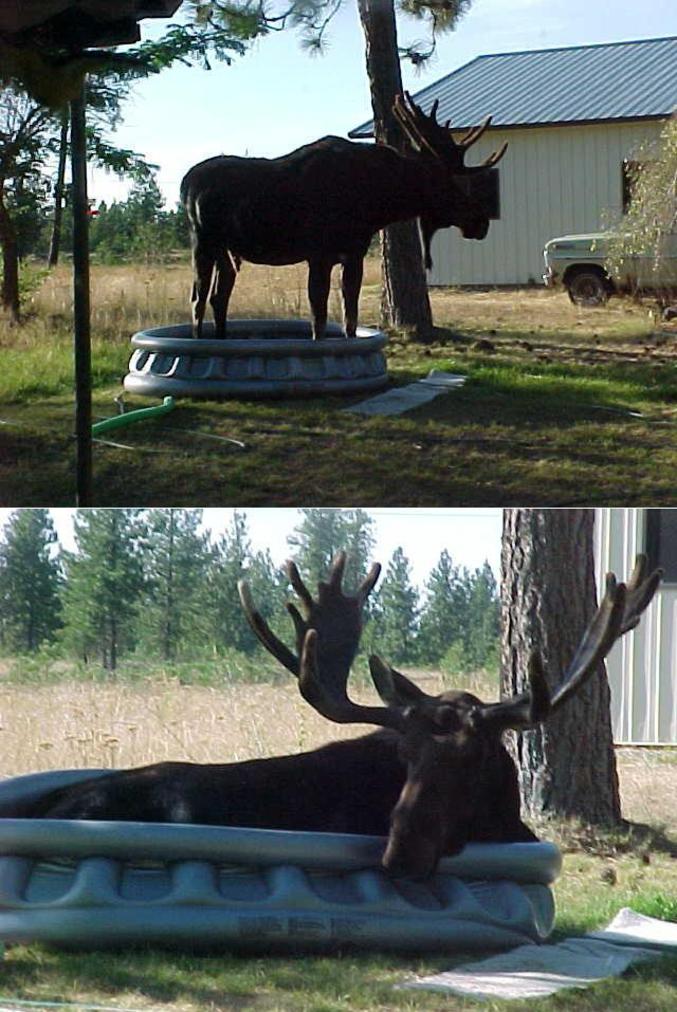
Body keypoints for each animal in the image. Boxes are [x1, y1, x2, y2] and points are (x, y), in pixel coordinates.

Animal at [179, 93, 505, 342]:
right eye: (447, 182)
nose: (480, 221)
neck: (376, 205)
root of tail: (185, 183)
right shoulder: (318, 254)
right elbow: (319, 317)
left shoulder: (353, 254)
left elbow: (350, 317)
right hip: (203, 241)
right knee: (197, 298)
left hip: (228, 250)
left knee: (218, 297)